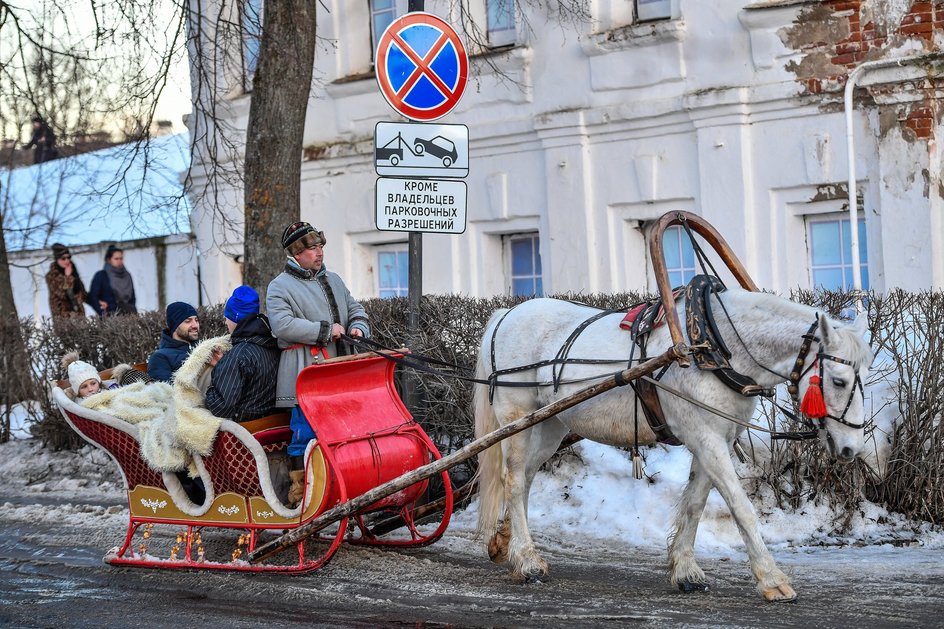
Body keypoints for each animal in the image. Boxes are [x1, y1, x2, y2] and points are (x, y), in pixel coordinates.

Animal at [476, 288, 872, 600]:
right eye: (838, 381)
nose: (852, 448)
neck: (713, 346)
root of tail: (505, 315)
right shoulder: (707, 438)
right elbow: (740, 507)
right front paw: (771, 579)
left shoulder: (715, 438)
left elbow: (695, 503)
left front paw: (685, 572)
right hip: (516, 420)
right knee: (514, 481)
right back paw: (527, 562)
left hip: (549, 424)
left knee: (525, 479)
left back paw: (506, 543)